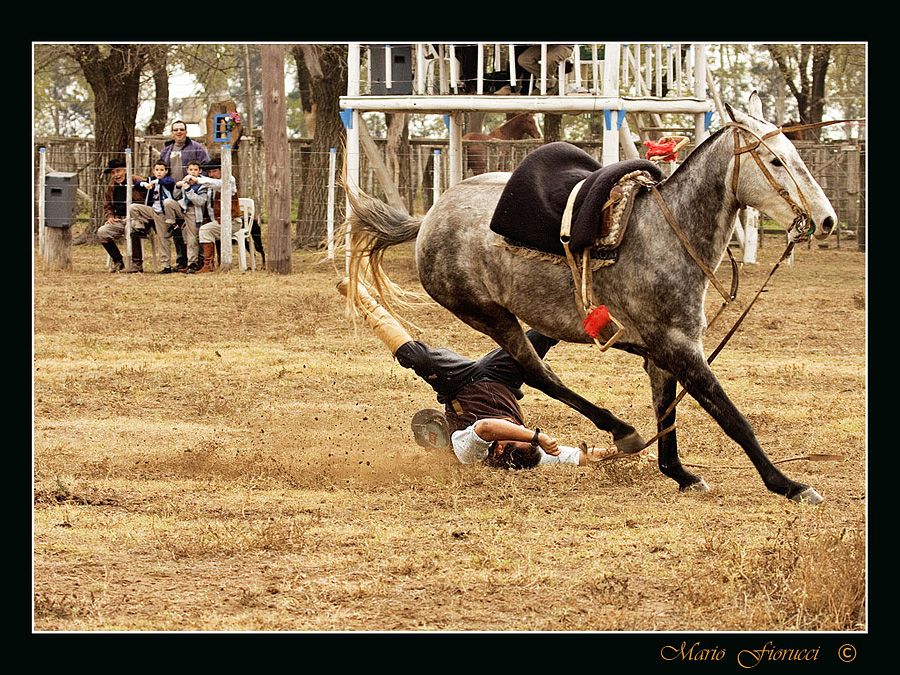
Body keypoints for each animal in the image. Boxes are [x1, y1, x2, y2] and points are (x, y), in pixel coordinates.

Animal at [348, 93, 840, 502]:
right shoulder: (680, 349)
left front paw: (679, 474)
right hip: (488, 315)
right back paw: (620, 430)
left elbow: (668, 415)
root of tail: (430, 216)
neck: (668, 233)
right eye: (775, 161)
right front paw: (788, 484)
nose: (827, 220)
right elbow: (732, 418)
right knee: (536, 372)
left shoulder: (667, 353)